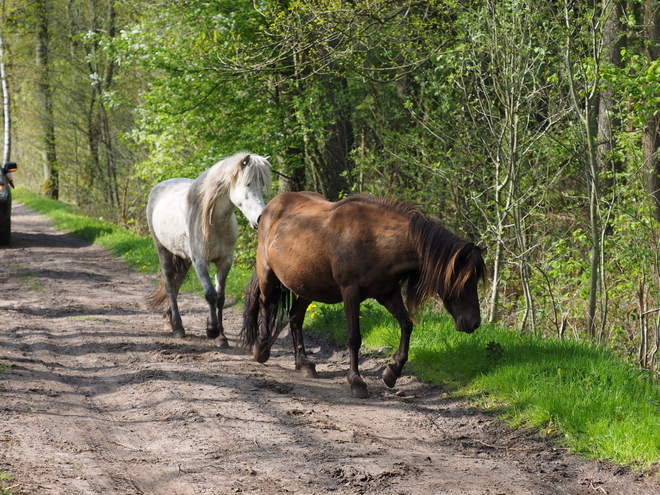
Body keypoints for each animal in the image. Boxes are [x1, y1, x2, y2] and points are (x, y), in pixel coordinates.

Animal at [147, 153, 270, 346]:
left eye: (262, 184)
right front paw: (211, 330)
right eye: (248, 184)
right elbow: (211, 295)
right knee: (169, 284)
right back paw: (178, 327)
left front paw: (221, 336)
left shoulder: (225, 262)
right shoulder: (200, 262)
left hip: (183, 258)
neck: (215, 222)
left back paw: (170, 319)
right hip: (163, 251)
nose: (260, 218)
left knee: (177, 282)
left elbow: (220, 298)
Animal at [241, 191, 484, 400]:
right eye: (466, 280)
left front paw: (392, 372)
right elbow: (354, 338)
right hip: (267, 274)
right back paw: (261, 349)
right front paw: (356, 382)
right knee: (265, 304)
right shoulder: (351, 293)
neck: (376, 239)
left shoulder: (387, 293)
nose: (474, 323)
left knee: (295, 318)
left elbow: (406, 324)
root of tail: (271, 207)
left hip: (306, 286)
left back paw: (304, 364)